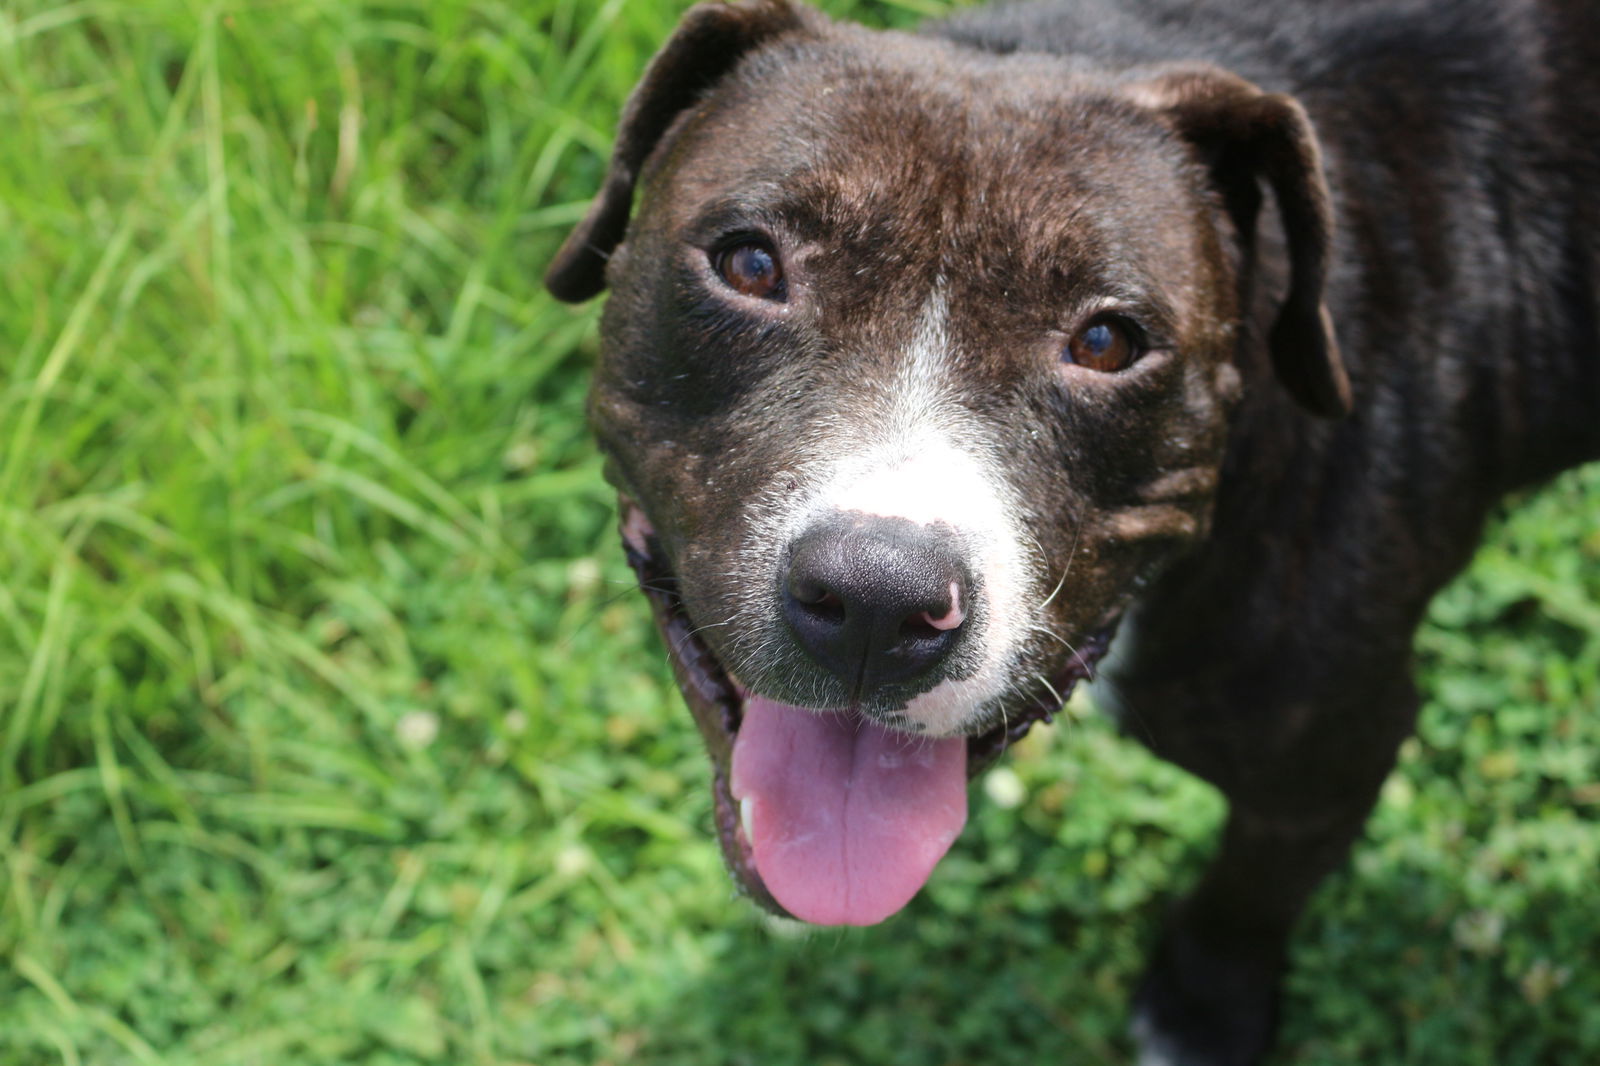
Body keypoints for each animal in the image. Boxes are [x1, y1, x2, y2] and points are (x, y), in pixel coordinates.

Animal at [540, 2, 1600, 1056]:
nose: (878, 598)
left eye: (1106, 342)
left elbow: (1252, 894)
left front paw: (1203, 1009)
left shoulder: (1328, 760)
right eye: (751, 264)